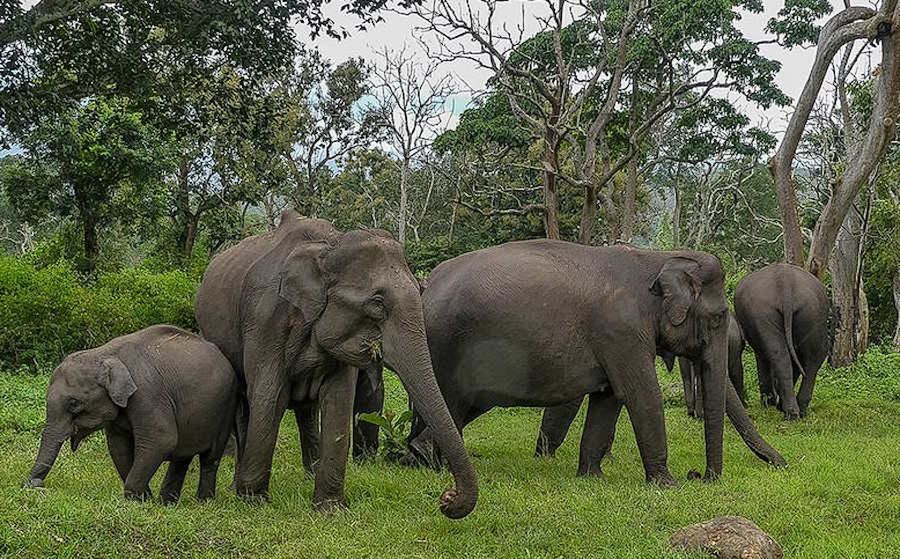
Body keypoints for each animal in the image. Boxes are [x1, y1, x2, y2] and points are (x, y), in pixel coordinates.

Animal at [26, 324, 239, 504]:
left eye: (74, 403)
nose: (36, 484)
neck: (104, 353)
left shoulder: (148, 393)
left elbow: (161, 439)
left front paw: (136, 500)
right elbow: (118, 447)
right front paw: (144, 500)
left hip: (227, 405)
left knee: (210, 458)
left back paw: (204, 502)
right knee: (182, 458)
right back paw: (167, 504)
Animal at [195, 212, 478, 520]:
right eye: (377, 302)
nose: (446, 498)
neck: (330, 245)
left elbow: (339, 399)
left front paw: (330, 510)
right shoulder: (265, 320)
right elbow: (271, 395)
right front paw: (254, 502)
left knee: (306, 409)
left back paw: (308, 474)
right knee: (246, 404)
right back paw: (238, 484)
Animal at [404, 240, 784, 486]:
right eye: (719, 317)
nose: (700, 476)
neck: (657, 259)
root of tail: (427, 284)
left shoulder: (615, 342)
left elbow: (609, 398)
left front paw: (591, 476)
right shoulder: (621, 331)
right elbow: (642, 394)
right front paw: (666, 484)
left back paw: (420, 459)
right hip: (446, 347)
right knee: (451, 404)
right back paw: (434, 464)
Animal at [732, 264, 828, 420]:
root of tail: (786, 283)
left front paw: (770, 403)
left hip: (765, 312)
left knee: (779, 355)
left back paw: (790, 412)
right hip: (813, 311)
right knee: (813, 355)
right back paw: (799, 410)